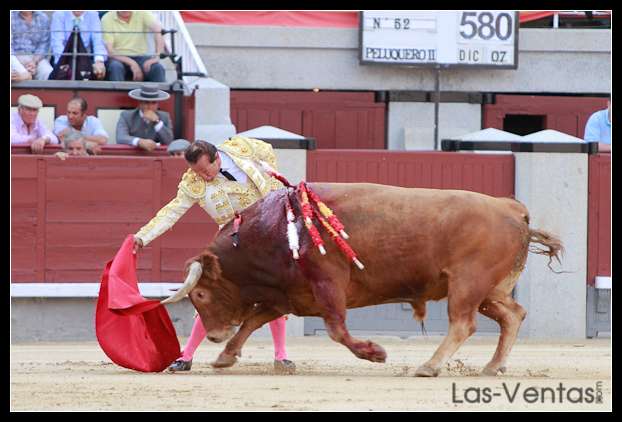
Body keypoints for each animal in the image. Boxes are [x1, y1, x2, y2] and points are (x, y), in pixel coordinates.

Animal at [161, 183, 564, 378]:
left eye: (201, 293)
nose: (214, 335)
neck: (277, 229)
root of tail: (510, 208)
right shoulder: (290, 294)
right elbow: (254, 320)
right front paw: (225, 357)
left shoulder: (327, 285)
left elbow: (337, 330)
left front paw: (374, 353)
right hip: (489, 290)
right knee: (512, 315)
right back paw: (493, 366)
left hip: (467, 284)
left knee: (463, 324)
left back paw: (429, 366)